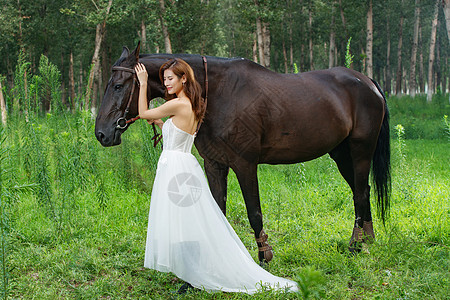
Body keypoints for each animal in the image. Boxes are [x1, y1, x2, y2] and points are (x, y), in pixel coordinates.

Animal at [96, 43, 390, 264]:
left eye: (118, 85)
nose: (101, 133)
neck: (217, 93)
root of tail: (367, 83)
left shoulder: (245, 164)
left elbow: (254, 212)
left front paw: (264, 257)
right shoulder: (215, 164)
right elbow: (219, 209)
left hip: (360, 152)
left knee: (360, 192)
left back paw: (355, 246)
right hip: (341, 155)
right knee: (360, 191)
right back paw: (367, 240)